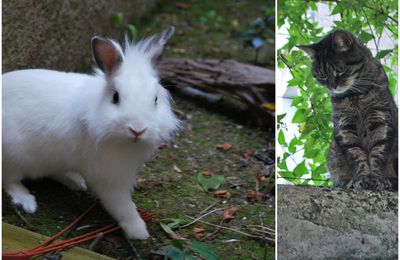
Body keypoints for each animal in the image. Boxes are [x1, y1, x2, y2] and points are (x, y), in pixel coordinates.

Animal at [1, 26, 180, 240]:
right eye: (115, 97)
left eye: (155, 99)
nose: (137, 129)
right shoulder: (109, 178)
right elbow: (122, 206)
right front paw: (138, 231)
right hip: (14, 156)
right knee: (10, 181)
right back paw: (27, 201)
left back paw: (75, 182)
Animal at [296, 29, 396, 190]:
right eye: (321, 76)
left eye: (340, 71)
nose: (332, 87)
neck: (354, 95)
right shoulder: (345, 125)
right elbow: (355, 153)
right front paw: (362, 177)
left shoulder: (381, 119)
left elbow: (378, 151)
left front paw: (377, 178)